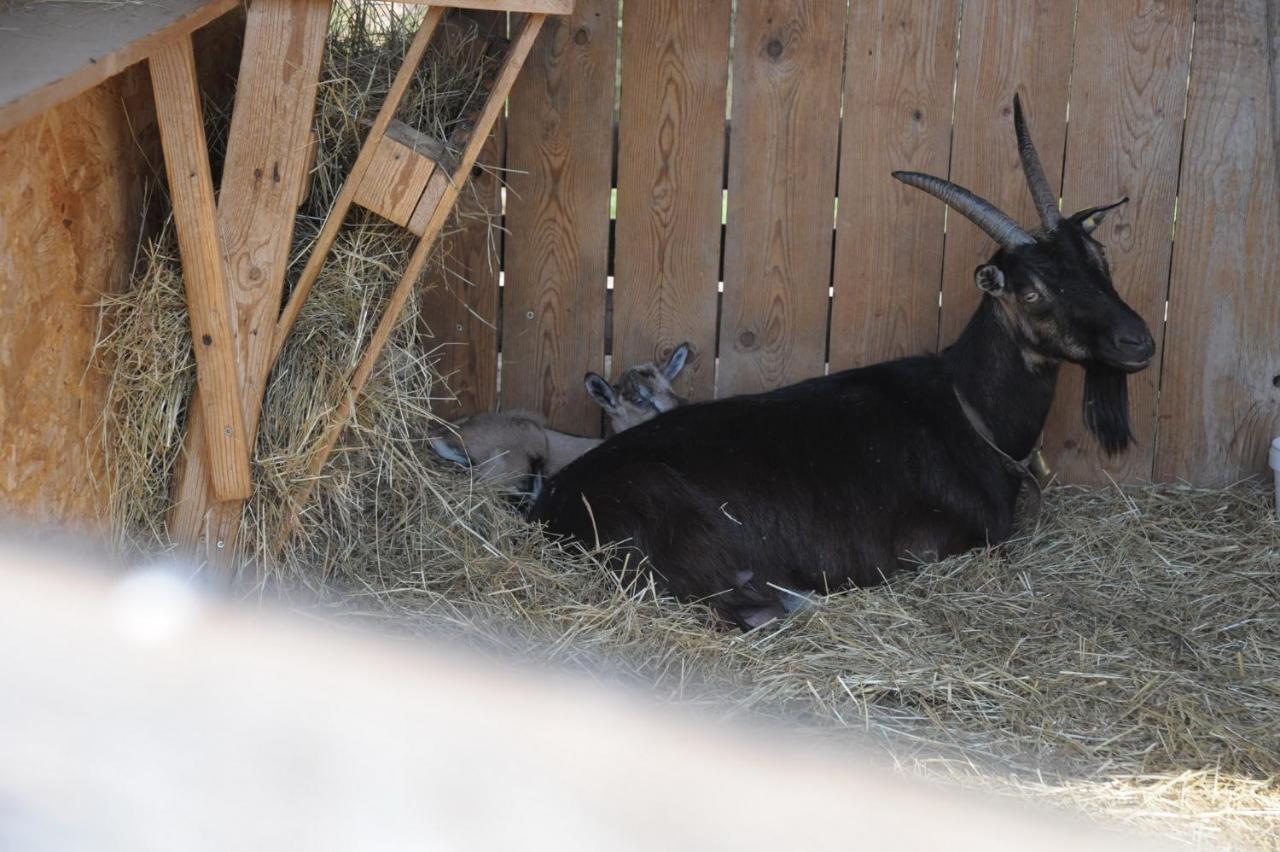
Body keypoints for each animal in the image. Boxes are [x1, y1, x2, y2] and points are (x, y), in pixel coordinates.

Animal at [524, 97, 1157, 629]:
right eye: (1030, 292)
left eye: (1099, 257)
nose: (1138, 341)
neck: (969, 410)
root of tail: (549, 508)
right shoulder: (925, 544)